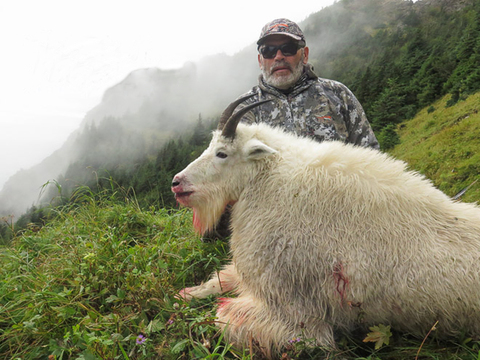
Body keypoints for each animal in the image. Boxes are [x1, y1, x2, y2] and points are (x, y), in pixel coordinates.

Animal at [172, 94, 480, 358]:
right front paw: (182, 297)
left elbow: (223, 317)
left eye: (222, 153)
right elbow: (220, 280)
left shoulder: (299, 315)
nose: (177, 183)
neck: (268, 178)